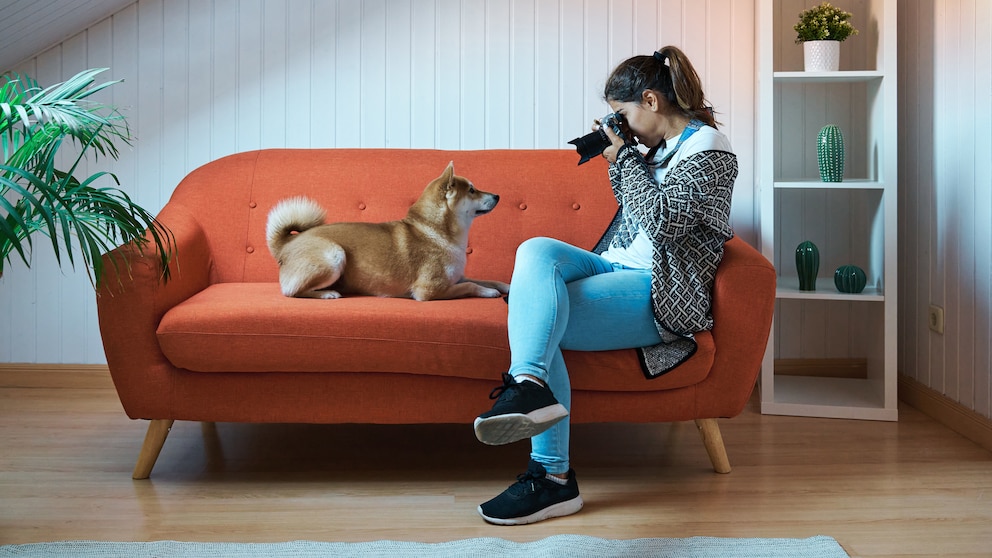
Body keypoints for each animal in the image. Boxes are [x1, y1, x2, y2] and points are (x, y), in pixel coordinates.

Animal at [268, 162, 508, 302]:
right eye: (472, 190)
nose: (497, 196)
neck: (439, 232)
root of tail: (286, 245)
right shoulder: (428, 290)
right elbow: (471, 285)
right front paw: (488, 292)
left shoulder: (456, 277)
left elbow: (485, 279)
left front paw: (505, 285)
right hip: (334, 255)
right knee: (291, 292)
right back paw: (328, 293)